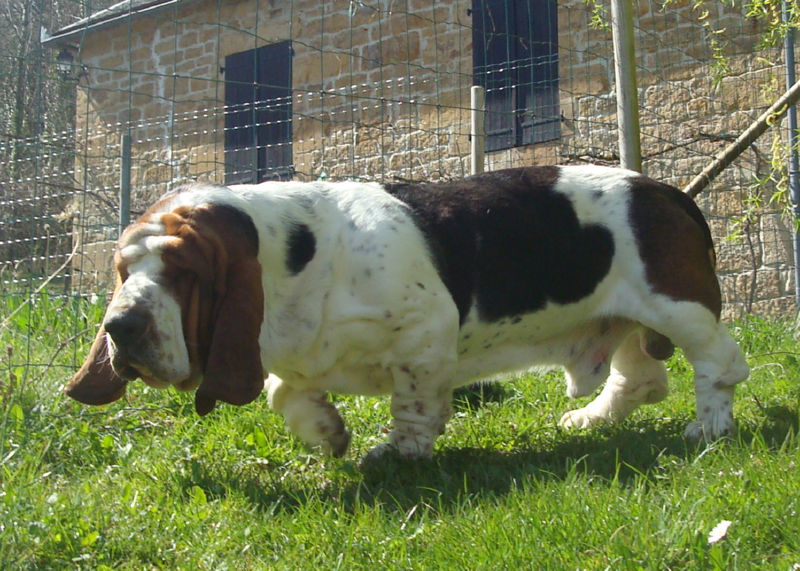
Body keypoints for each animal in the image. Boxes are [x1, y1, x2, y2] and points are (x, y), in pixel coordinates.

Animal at [64, 165, 752, 460]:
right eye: (123, 271)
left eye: (184, 273)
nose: (119, 329)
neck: (296, 261)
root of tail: (667, 191)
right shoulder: (294, 357)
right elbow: (284, 393)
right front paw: (327, 433)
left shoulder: (425, 335)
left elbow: (414, 405)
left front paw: (398, 453)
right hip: (631, 322)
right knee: (642, 377)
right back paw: (591, 418)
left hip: (673, 306)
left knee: (720, 364)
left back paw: (710, 427)